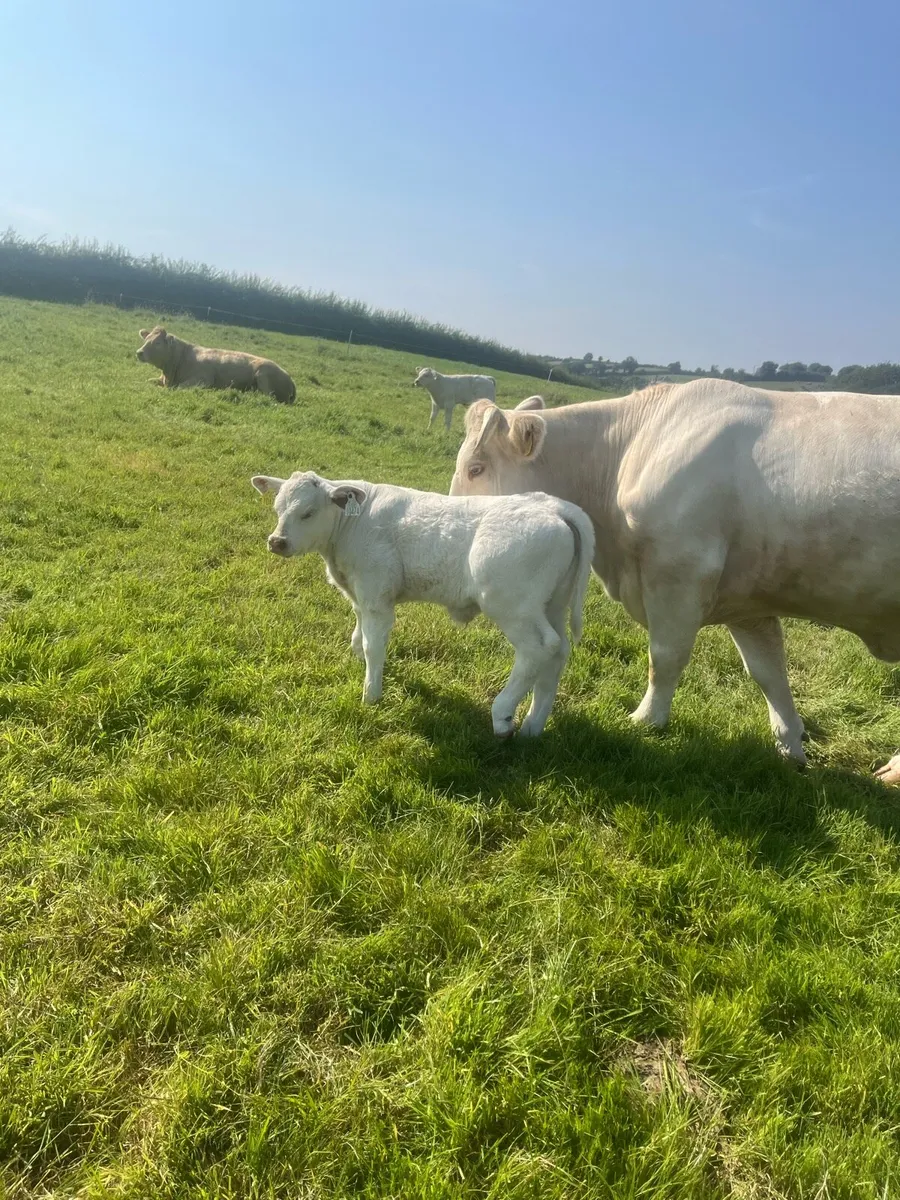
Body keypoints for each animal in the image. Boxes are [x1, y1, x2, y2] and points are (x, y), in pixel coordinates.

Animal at [136, 326, 296, 404]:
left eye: (157, 343)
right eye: (146, 339)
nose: (139, 352)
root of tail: (290, 379)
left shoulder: (203, 380)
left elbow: (178, 388)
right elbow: (148, 381)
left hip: (263, 374)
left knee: (268, 397)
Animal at [251, 470, 594, 737]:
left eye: (308, 512)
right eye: (278, 508)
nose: (277, 542)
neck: (351, 526)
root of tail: (553, 506)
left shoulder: (377, 598)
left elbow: (374, 646)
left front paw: (371, 694)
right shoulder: (361, 595)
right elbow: (359, 636)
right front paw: (361, 663)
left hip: (512, 607)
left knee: (539, 648)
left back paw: (503, 715)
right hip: (551, 606)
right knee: (559, 651)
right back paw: (533, 727)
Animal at [449, 379, 900, 782]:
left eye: (476, 468)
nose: (453, 527)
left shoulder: (679, 572)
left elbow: (664, 657)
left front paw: (646, 721)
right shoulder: (747, 600)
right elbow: (768, 671)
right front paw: (790, 744)